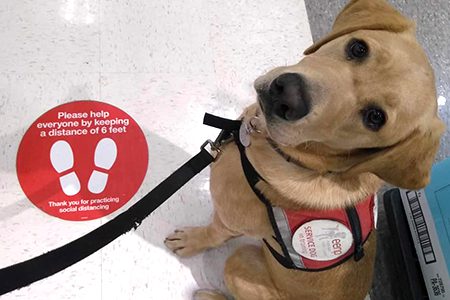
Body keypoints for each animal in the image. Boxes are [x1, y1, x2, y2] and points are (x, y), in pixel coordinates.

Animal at [164, 0, 442, 298]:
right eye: (358, 48)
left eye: (375, 118)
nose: (287, 95)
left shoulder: (229, 222)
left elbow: (213, 233)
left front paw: (190, 240)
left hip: (238, 261)